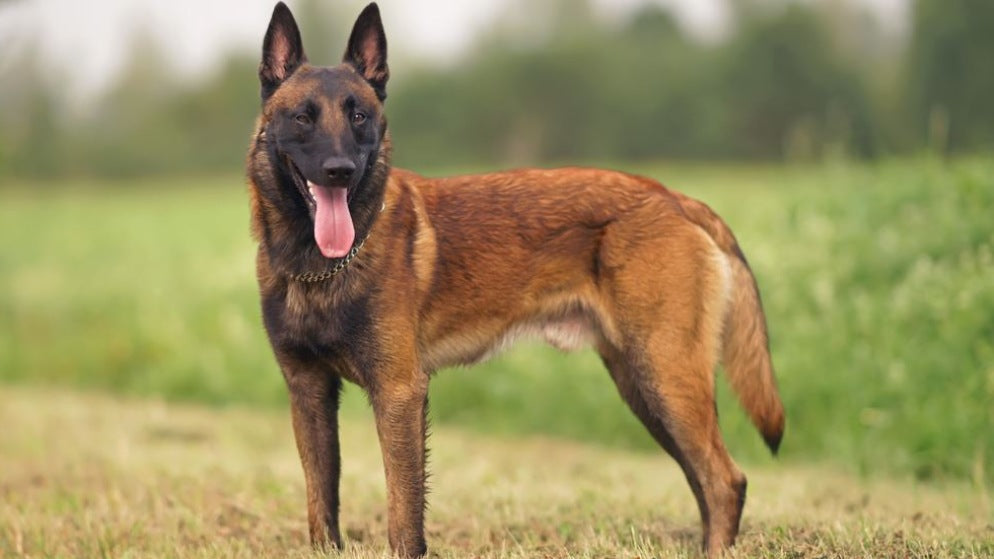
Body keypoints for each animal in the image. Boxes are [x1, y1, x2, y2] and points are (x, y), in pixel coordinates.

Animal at [246, 2, 784, 556]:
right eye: (303, 117)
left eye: (359, 117)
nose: (340, 171)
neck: (317, 266)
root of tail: (675, 198)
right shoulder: (309, 392)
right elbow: (321, 505)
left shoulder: (398, 393)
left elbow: (403, 514)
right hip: (644, 386)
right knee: (703, 478)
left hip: (666, 377)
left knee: (724, 480)